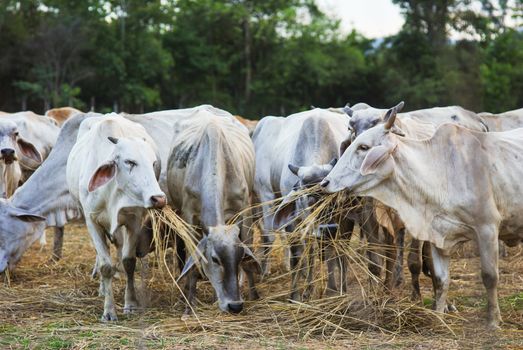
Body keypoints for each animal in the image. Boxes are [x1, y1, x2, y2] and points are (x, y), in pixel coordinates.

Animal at [67, 113, 166, 322]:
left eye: (153, 163)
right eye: (130, 162)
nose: (159, 199)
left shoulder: (134, 221)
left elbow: (129, 262)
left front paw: (131, 304)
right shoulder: (92, 221)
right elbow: (105, 265)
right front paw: (109, 311)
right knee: (102, 255)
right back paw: (103, 289)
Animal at [166, 108, 260, 314]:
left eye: (239, 257)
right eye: (215, 259)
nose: (235, 305)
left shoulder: (244, 210)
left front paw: (255, 295)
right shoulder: (189, 216)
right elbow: (193, 262)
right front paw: (189, 305)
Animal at [320, 113, 523, 330]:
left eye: (364, 147)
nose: (325, 182)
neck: (442, 171)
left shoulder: (487, 229)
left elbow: (489, 276)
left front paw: (493, 321)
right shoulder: (437, 236)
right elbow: (441, 280)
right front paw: (438, 318)